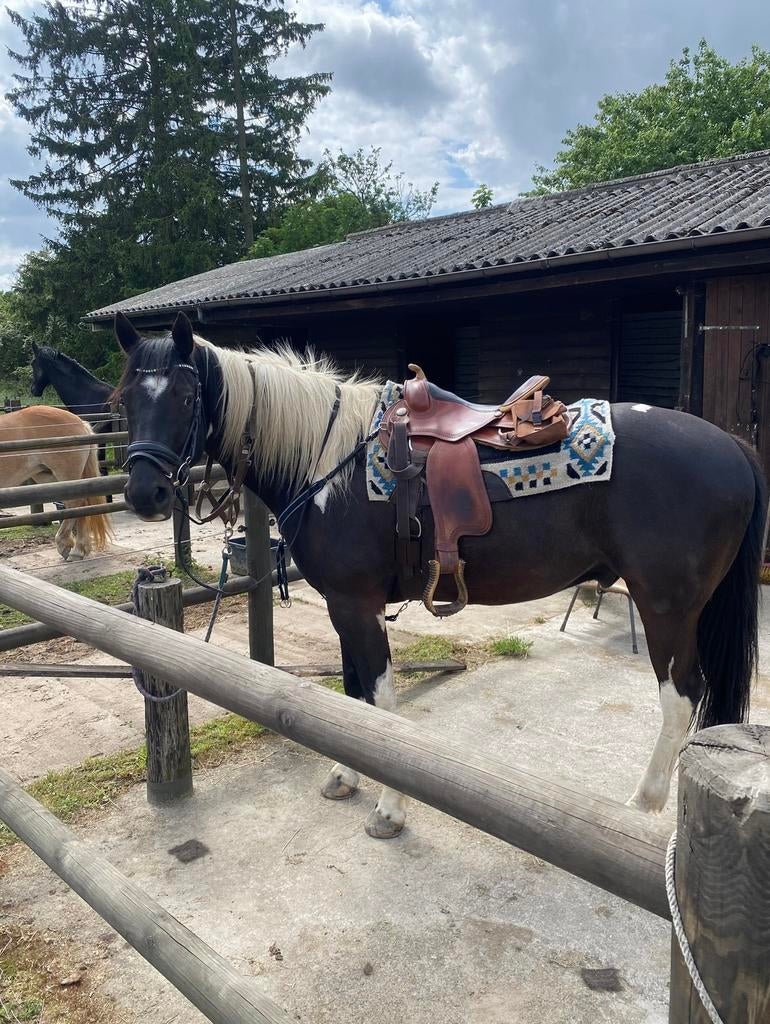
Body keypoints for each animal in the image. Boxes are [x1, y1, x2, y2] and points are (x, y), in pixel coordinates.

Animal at [113, 310, 767, 839]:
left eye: (186, 398)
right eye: (126, 402)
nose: (144, 494)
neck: (327, 458)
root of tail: (733, 446)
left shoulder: (355, 604)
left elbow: (377, 704)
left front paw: (389, 810)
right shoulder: (346, 607)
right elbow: (351, 694)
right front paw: (346, 774)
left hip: (666, 608)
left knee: (681, 698)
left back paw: (641, 805)